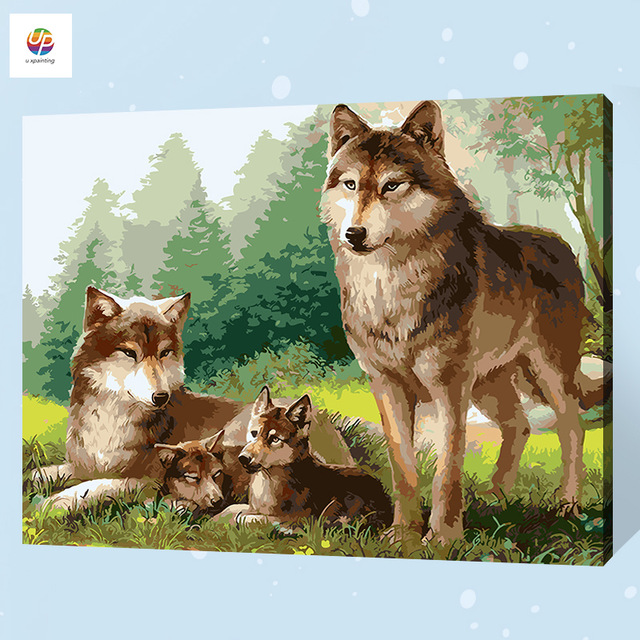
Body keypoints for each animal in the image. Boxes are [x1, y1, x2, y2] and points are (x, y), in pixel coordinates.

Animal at [33, 287, 251, 501]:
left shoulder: (149, 481)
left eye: (164, 353)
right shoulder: (85, 465)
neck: (113, 419)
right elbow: (41, 473)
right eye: (129, 353)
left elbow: (97, 486)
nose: (161, 397)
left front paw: (55, 502)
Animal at [222, 387, 391, 528]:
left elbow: (248, 518)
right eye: (254, 433)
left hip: (333, 506)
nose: (243, 458)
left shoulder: (299, 517)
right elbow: (238, 511)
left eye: (275, 439)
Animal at [320, 100, 607, 544]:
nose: (354, 234)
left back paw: (567, 508)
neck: (392, 286)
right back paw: (496, 500)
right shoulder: (386, 384)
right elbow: (402, 468)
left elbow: (447, 469)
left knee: (570, 428)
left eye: (392, 186)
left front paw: (442, 539)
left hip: (547, 375)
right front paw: (402, 536)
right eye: (350, 184)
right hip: (490, 384)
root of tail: (561, 245)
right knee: (519, 426)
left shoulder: (450, 385)